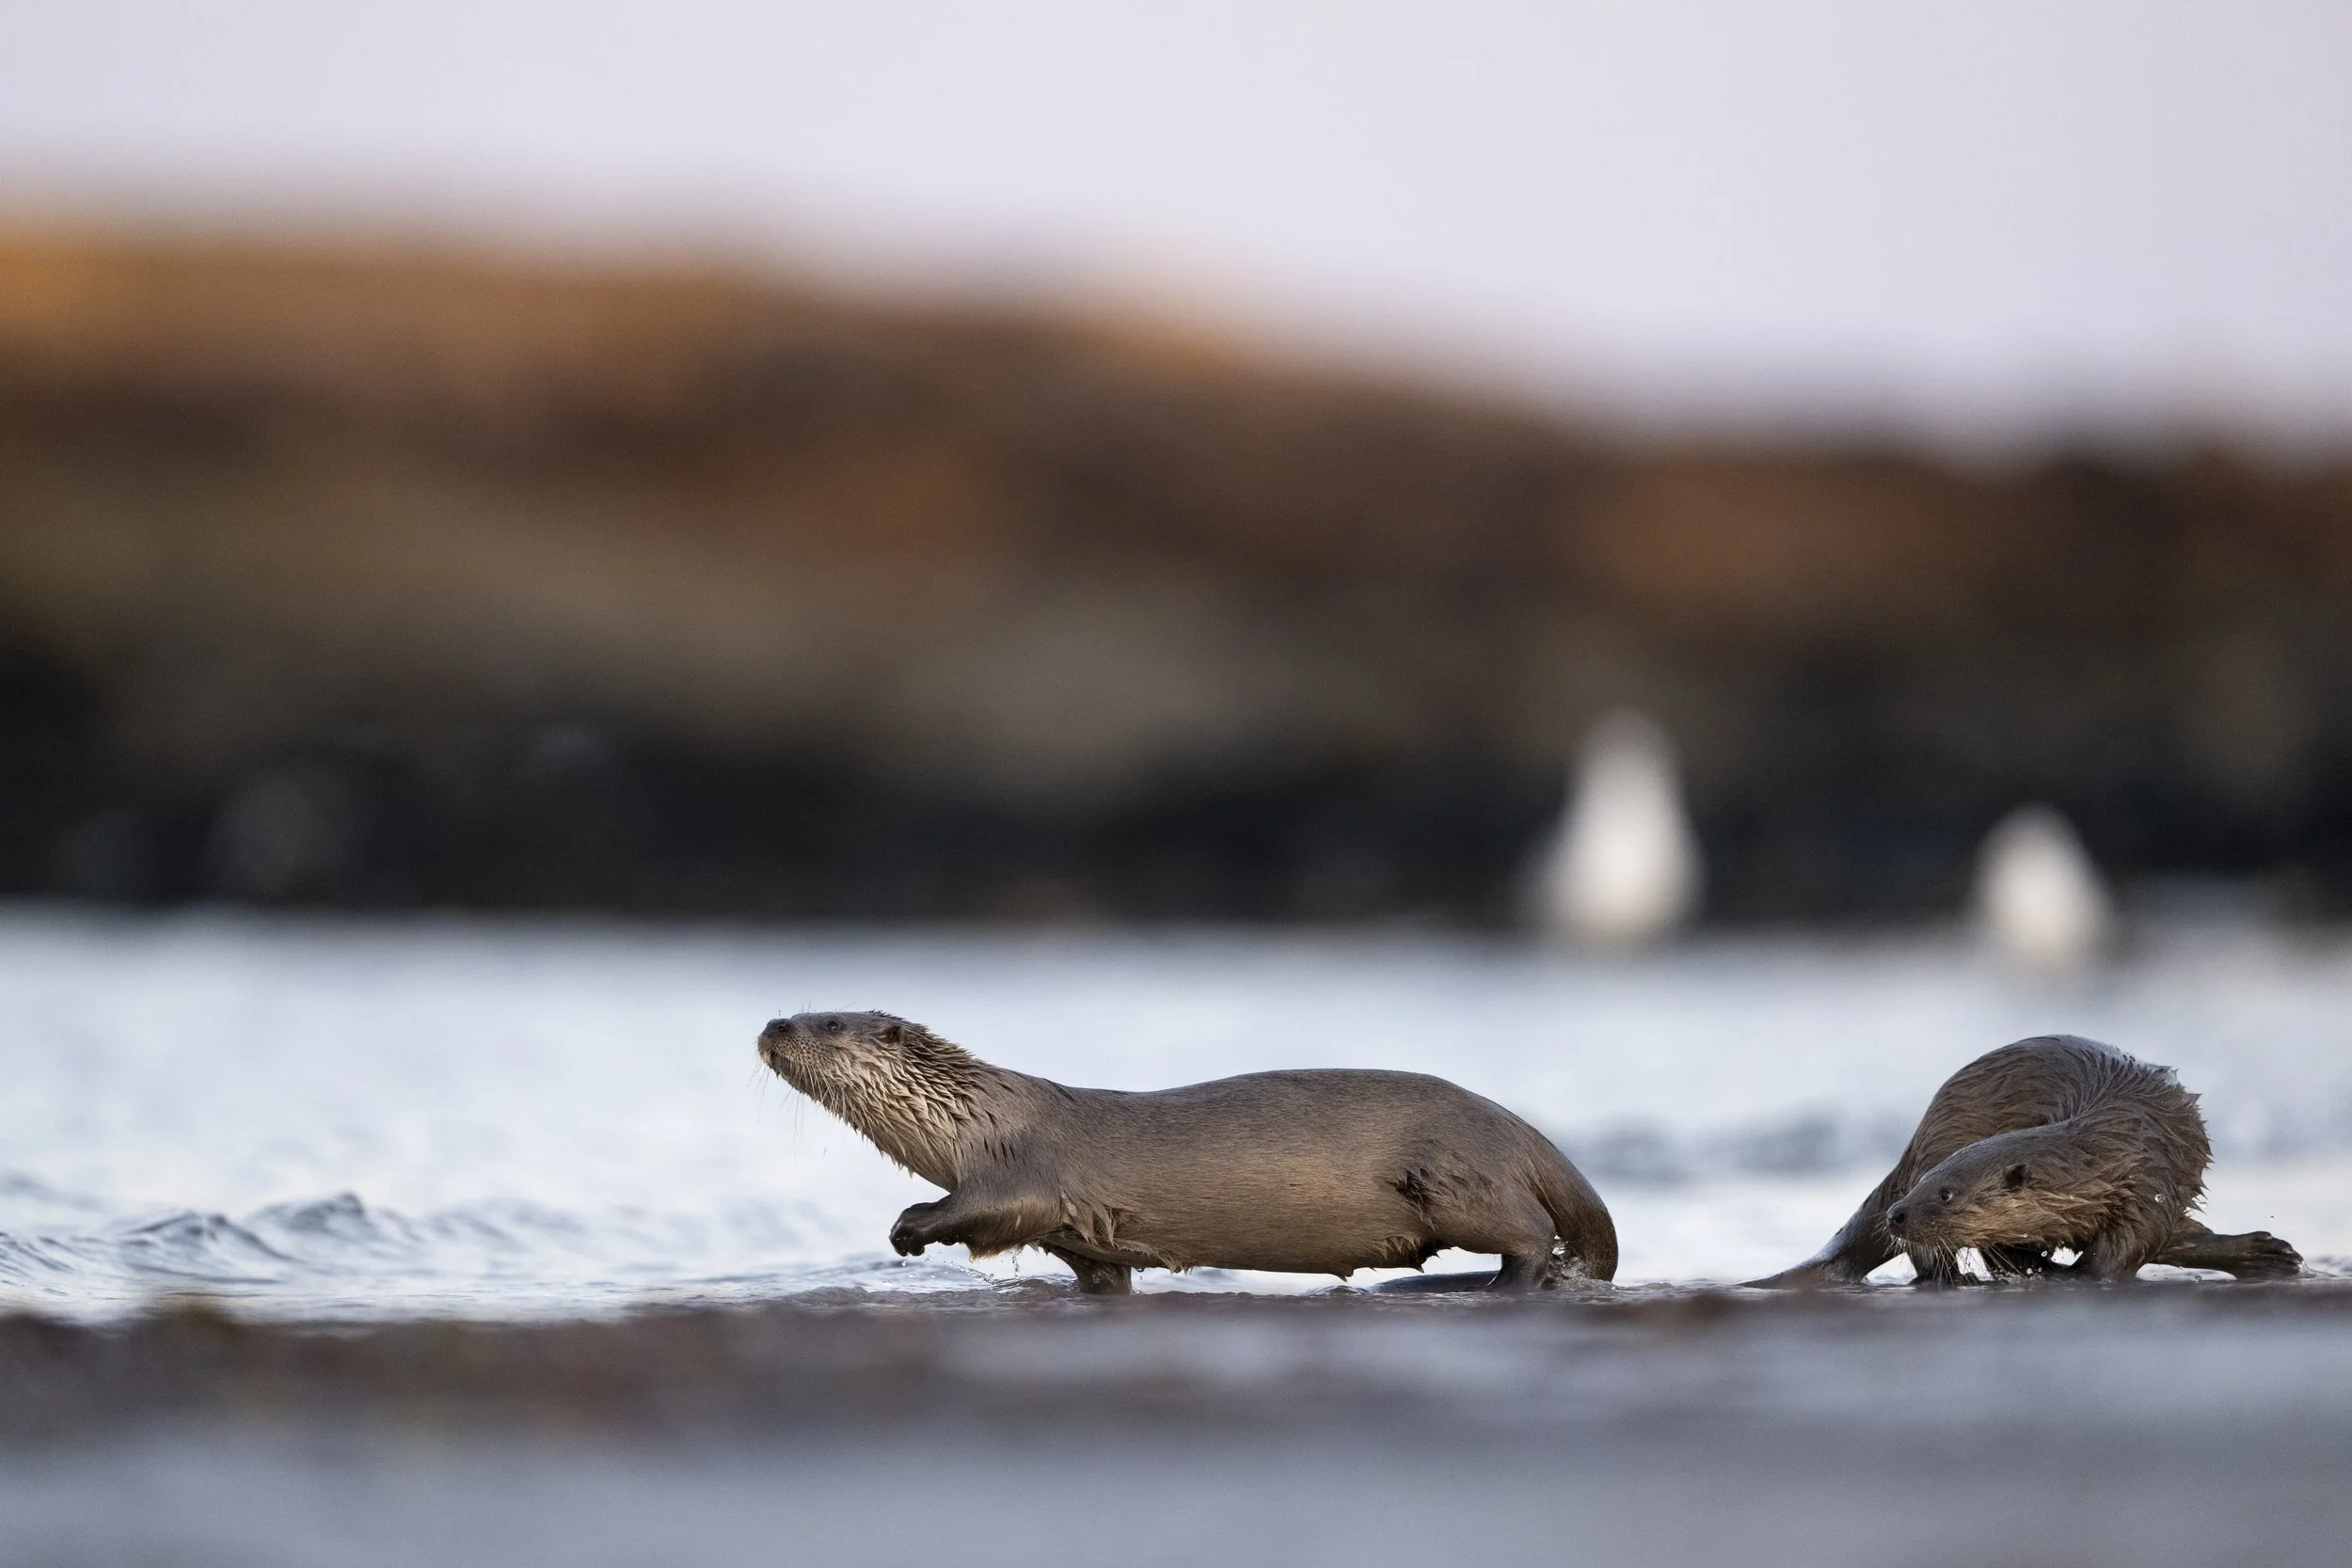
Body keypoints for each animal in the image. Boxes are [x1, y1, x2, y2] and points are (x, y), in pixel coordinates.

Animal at [757, 1010, 1617, 1295]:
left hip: (1456, 1175)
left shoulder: (1024, 1165)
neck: (978, 1116)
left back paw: (1510, 1285)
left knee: (1531, 1233)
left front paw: (910, 1224)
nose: (773, 1025)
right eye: (797, 1011)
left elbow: (992, 1210)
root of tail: (1518, 1126)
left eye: (828, 1022)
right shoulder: (1083, 1236)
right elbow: (1100, 1270)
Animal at [1750, 1034, 2300, 1287]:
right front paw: (2048, 1270)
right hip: (1935, 1140)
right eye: (1926, 1185)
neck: (2110, 1153)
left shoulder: (2153, 1184)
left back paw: (2266, 1255)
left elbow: (2126, 1249)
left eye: (1945, 1193)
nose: (1897, 1214)